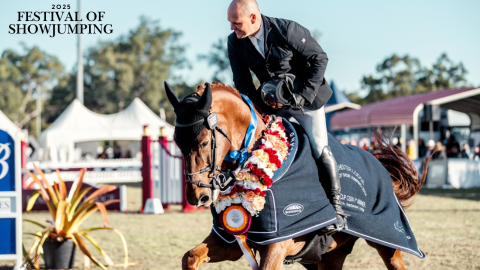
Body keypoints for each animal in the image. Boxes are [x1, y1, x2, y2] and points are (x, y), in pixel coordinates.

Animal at [166, 81, 428, 268]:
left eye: (202, 142)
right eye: (176, 142)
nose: (196, 197)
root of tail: (378, 164)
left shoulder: (276, 246)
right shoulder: (230, 240)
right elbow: (190, 257)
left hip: (389, 245)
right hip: (330, 256)